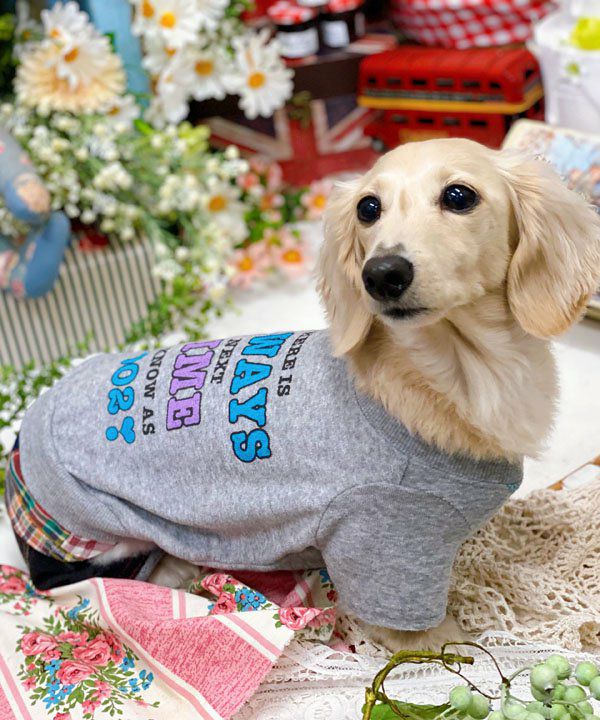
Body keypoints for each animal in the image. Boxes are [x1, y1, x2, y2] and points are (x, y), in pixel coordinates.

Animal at [8, 139, 600, 654]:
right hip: (104, 537)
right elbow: (437, 637)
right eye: (368, 207)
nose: (381, 275)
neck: (454, 374)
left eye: (459, 195)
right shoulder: (381, 541)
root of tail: (23, 435)